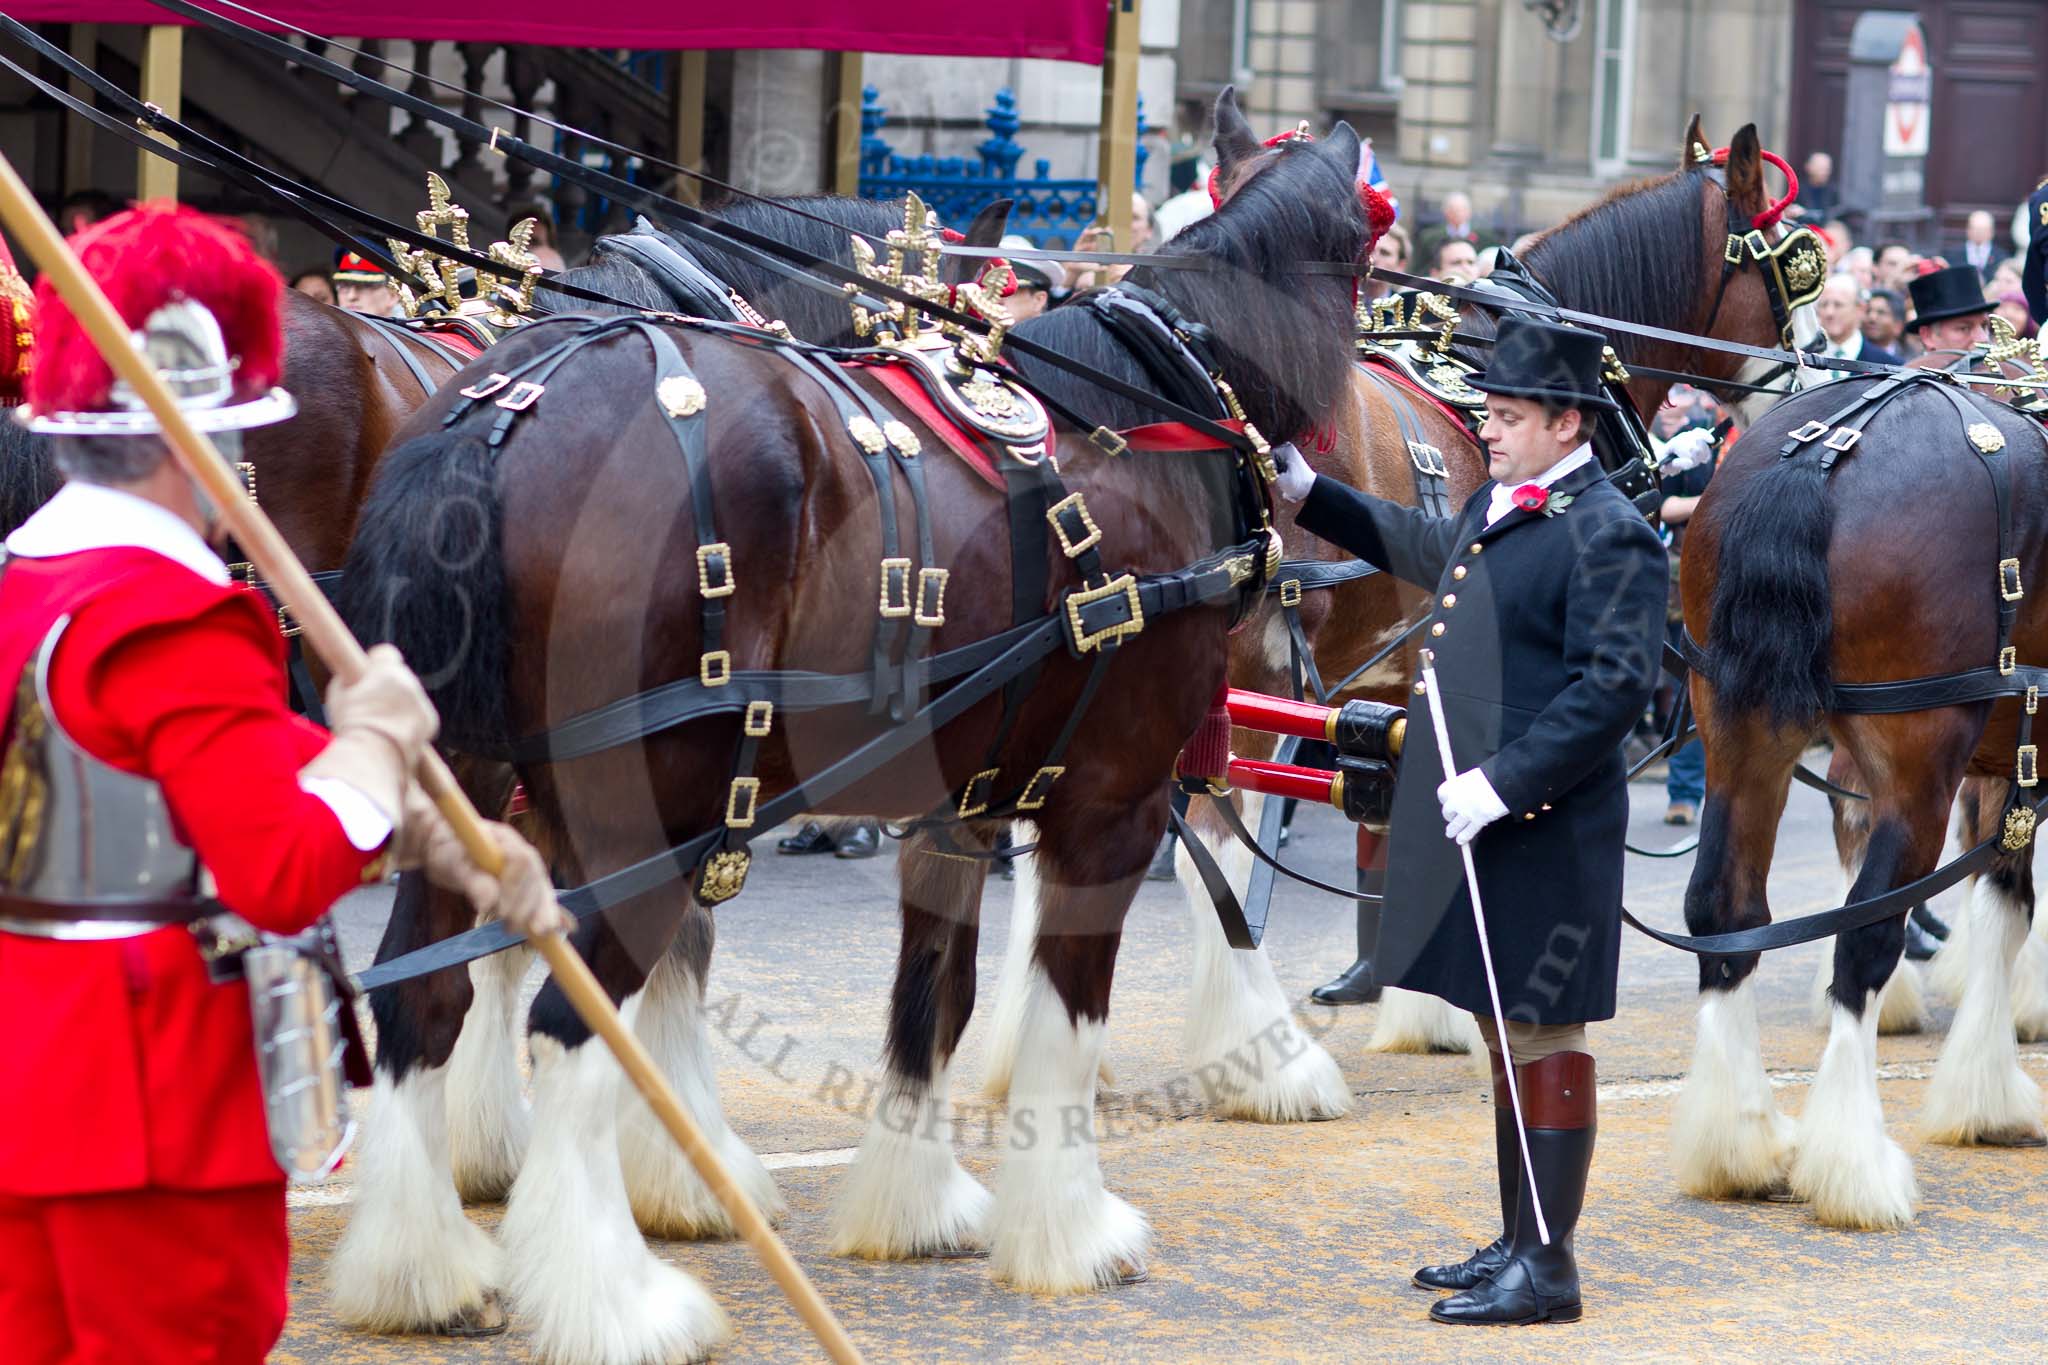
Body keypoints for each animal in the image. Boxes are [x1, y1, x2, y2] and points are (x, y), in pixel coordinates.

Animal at [983, 120, 1818, 1113]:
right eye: (1797, 264)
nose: (1811, 375)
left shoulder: (1397, 666)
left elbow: (1400, 808)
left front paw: (1414, 994)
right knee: (1202, 850)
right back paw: (1270, 1062)